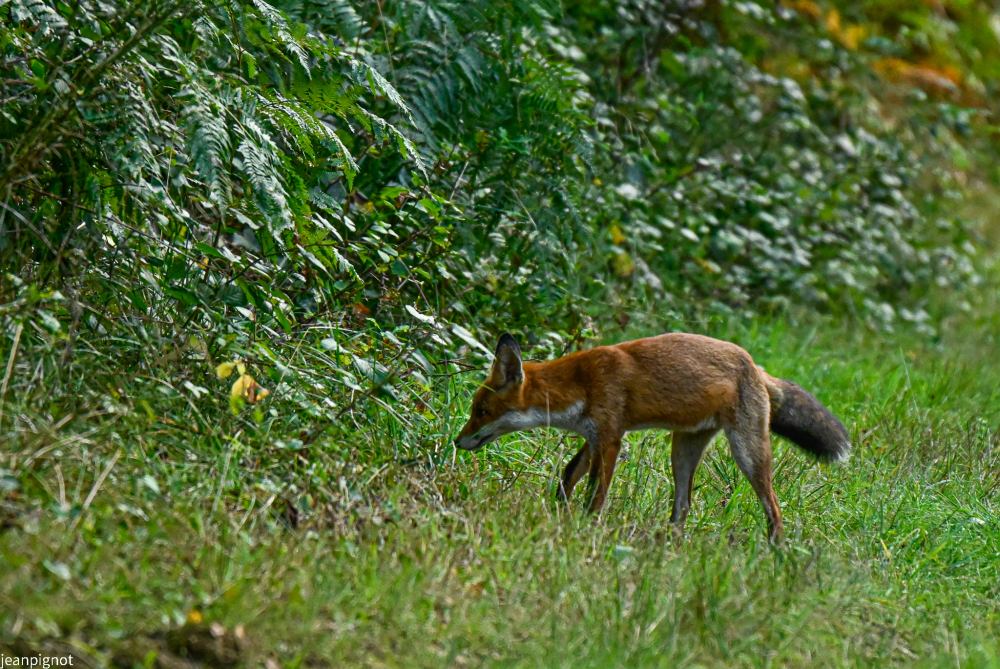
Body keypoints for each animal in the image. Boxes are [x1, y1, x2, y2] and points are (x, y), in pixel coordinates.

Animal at [456, 332, 852, 540]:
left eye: (481, 412)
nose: (457, 442)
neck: (582, 382)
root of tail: (755, 365)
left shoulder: (611, 438)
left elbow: (596, 496)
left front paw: (585, 530)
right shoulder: (593, 437)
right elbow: (568, 477)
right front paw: (560, 516)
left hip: (748, 453)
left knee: (774, 508)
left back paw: (775, 553)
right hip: (683, 451)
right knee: (684, 505)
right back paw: (669, 546)